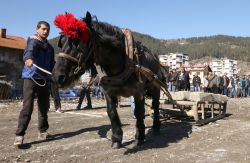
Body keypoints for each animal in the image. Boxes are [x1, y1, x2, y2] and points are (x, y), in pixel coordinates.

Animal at [52, 11, 166, 148]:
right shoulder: (108, 92)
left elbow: (139, 112)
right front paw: (116, 138)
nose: (57, 76)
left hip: (155, 86)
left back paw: (156, 127)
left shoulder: (138, 92)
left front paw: (139, 137)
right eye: (61, 41)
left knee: (156, 105)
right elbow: (111, 112)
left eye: (78, 41)